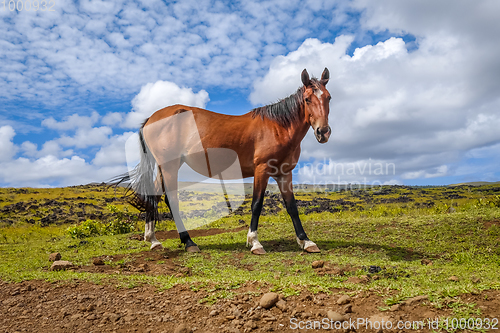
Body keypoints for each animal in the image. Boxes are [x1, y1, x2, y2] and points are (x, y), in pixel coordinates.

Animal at [115, 68, 330, 253]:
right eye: (307, 99)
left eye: (328, 97)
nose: (323, 132)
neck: (278, 127)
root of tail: (151, 119)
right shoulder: (262, 170)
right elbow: (256, 204)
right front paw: (255, 242)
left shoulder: (284, 173)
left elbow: (292, 206)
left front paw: (306, 241)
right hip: (170, 166)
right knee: (172, 200)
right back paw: (188, 242)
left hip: (164, 167)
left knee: (154, 195)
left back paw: (153, 240)